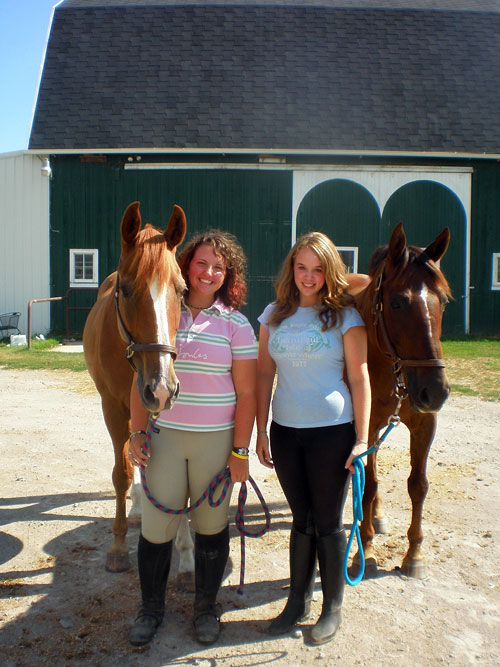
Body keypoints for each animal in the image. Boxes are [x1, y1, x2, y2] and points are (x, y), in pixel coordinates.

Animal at [84, 201, 188, 572]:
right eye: (126, 289)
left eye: (182, 290)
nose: (161, 388)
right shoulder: (112, 408)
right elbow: (122, 474)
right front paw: (117, 546)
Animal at [356, 223, 454, 580]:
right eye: (397, 303)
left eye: (443, 302)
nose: (435, 391)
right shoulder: (367, 425)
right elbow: (369, 486)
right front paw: (366, 550)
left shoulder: (426, 424)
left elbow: (418, 485)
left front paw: (415, 555)